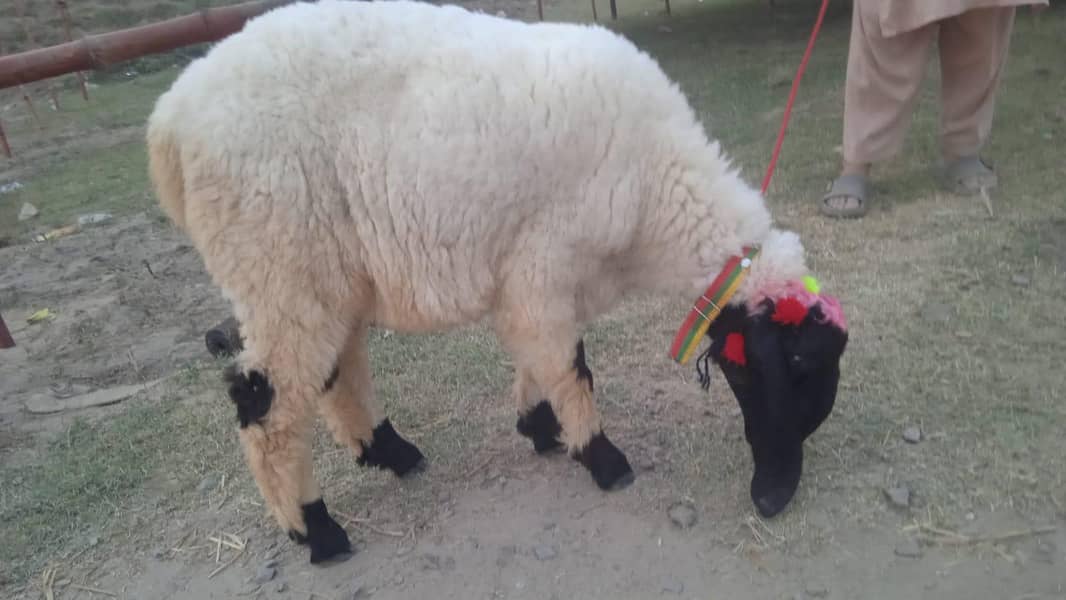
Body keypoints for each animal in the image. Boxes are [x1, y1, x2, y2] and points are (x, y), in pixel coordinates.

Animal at [147, 0, 849, 565]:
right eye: (783, 368)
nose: (772, 498)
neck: (659, 190)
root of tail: (169, 122)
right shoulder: (545, 260)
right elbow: (570, 364)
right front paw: (602, 458)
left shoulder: (534, 276)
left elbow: (538, 355)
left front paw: (539, 427)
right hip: (277, 262)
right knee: (265, 405)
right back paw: (317, 532)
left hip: (325, 270)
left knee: (336, 371)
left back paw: (391, 452)